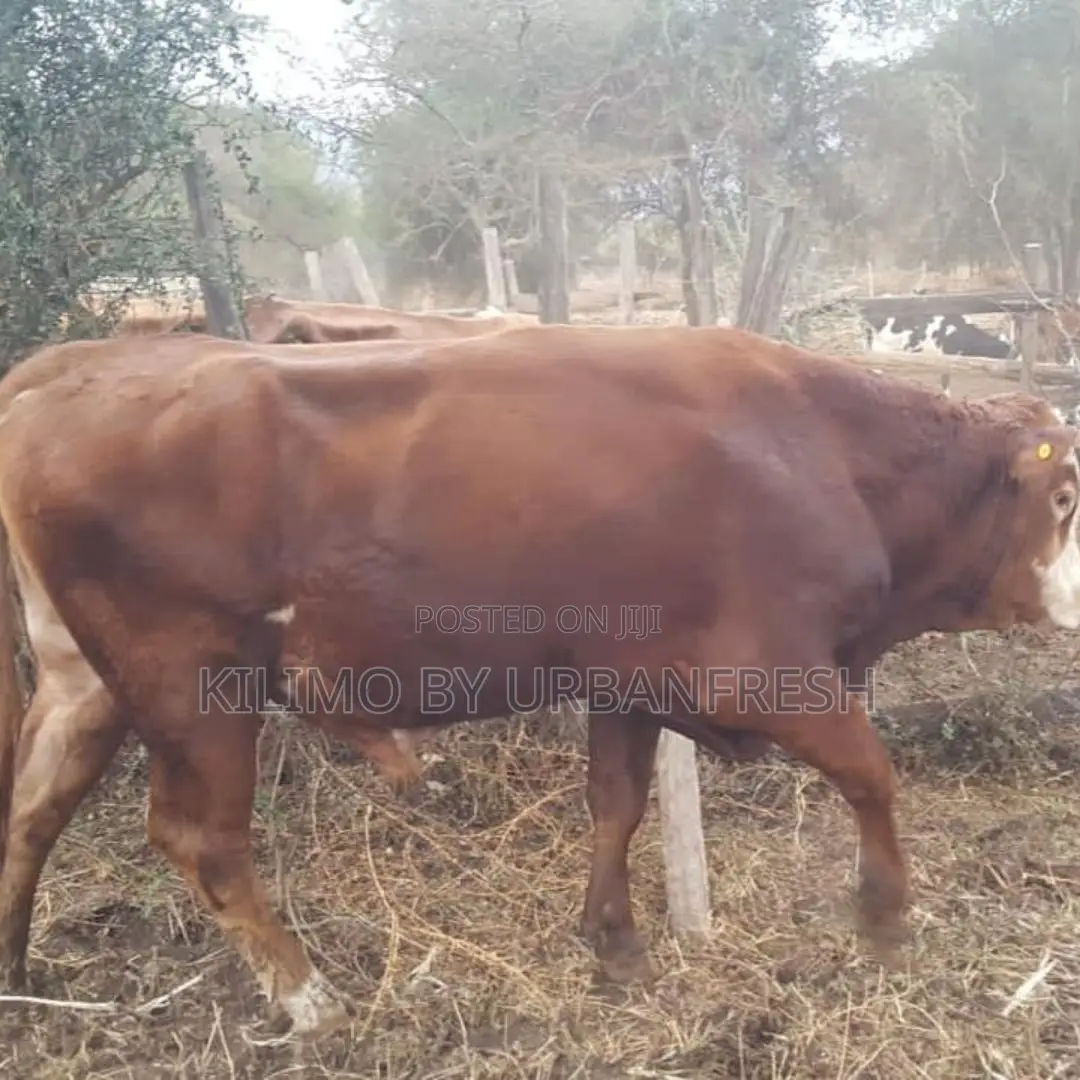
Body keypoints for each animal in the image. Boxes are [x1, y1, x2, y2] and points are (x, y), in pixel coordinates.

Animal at [0, 325, 1078, 1040]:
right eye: (1067, 495)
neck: (826, 452)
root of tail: (69, 368)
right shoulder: (765, 675)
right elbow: (872, 775)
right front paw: (887, 921)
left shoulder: (628, 680)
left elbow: (617, 803)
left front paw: (615, 943)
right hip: (194, 681)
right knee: (202, 840)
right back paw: (310, 999)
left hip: (84, 682)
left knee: (31, 809)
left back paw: (14, 975)